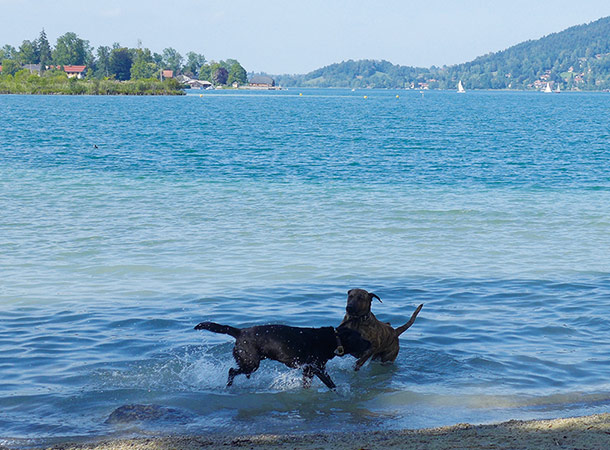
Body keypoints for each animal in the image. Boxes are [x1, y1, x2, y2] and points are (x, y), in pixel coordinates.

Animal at [195, 320, 368, 390]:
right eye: (359, 337)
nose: (370, 344)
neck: (333, 339)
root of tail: (239, 332)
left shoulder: (308, 370)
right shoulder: (316, 368)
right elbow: (331, 384)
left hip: (250, 363)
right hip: (251, 363)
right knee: (231, 371)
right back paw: (229, 385)